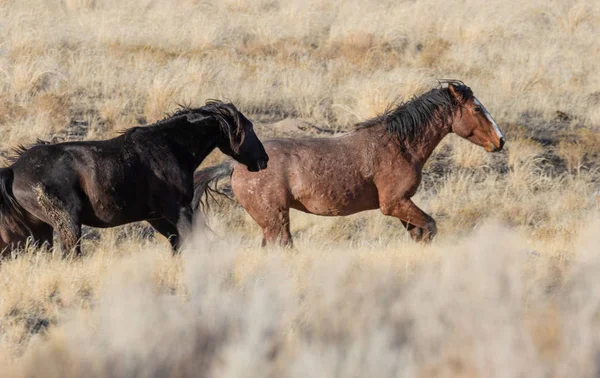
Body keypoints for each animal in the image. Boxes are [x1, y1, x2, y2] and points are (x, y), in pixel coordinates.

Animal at [0, 99, 268, 256]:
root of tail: (14, 169)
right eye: (249, 128)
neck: (169, 146)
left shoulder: (157, 217)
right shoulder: (179, 209)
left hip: (42, 229)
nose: (263, 160)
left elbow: (177, 246)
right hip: (67, 224)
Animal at [195, 82, 504, 247]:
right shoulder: (394, 203)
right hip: (275, 219)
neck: (399, 145)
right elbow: (429, 227)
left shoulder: (402, 206)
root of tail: (234, 166)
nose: (500, 141)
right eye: (477, 109)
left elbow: (419, 233)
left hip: (269, 221)